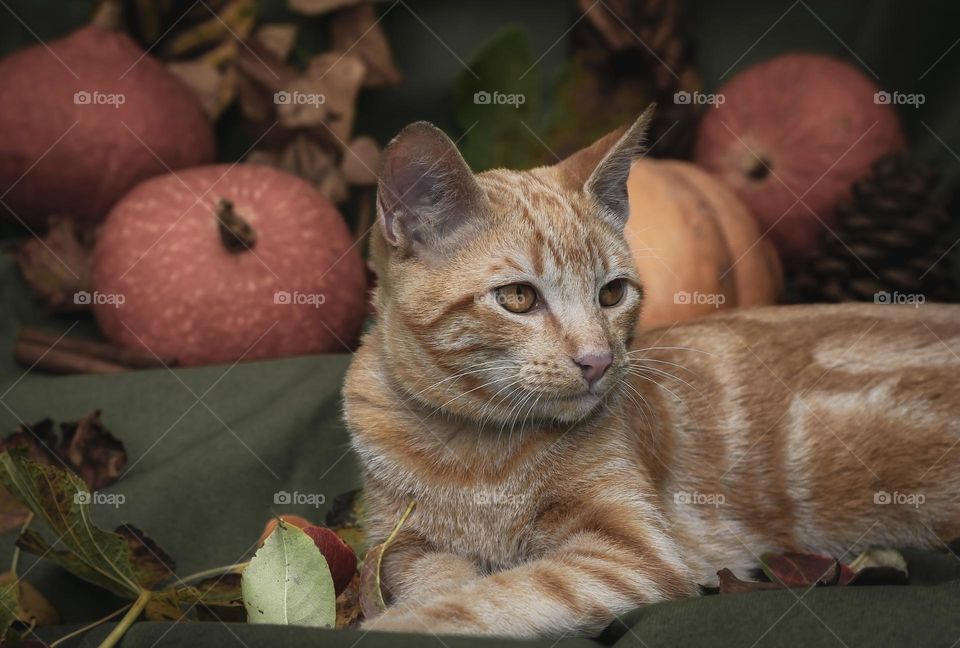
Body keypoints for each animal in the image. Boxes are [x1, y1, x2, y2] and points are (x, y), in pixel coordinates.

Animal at [342, 107, 956, 636]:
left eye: (612, 293)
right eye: (518, 297)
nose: (598, 360)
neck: (473, 456)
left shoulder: (630, 554)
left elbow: (489, 598)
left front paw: (395, 626)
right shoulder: (397, 543)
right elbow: (433, 573)